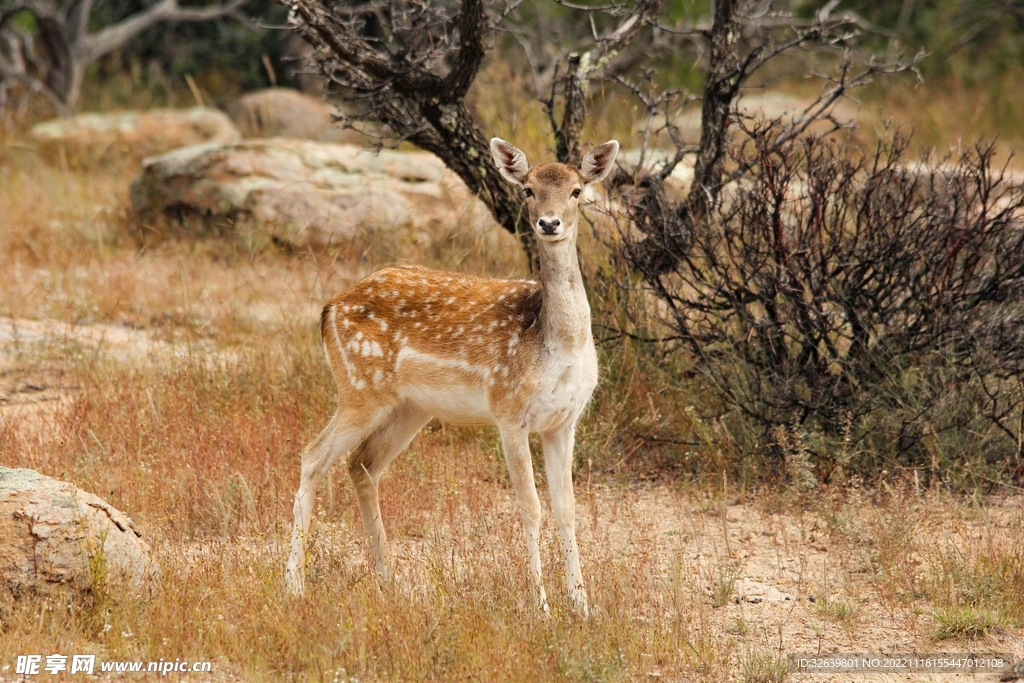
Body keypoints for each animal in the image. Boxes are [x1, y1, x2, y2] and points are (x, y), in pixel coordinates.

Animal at [284, 137, 619, 616]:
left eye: (577, 191)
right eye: (528, 190)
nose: (549, 223)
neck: (554, 343)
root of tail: (329, 308)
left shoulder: (564, 421)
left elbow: (567, 508)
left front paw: (583, 607)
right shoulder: (508, 410)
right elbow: (530, 506)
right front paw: (541, 607)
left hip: (410, 408)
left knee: (362, 463)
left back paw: (388, 581)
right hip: (359, 388)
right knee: (312, 456)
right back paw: (294, 585)